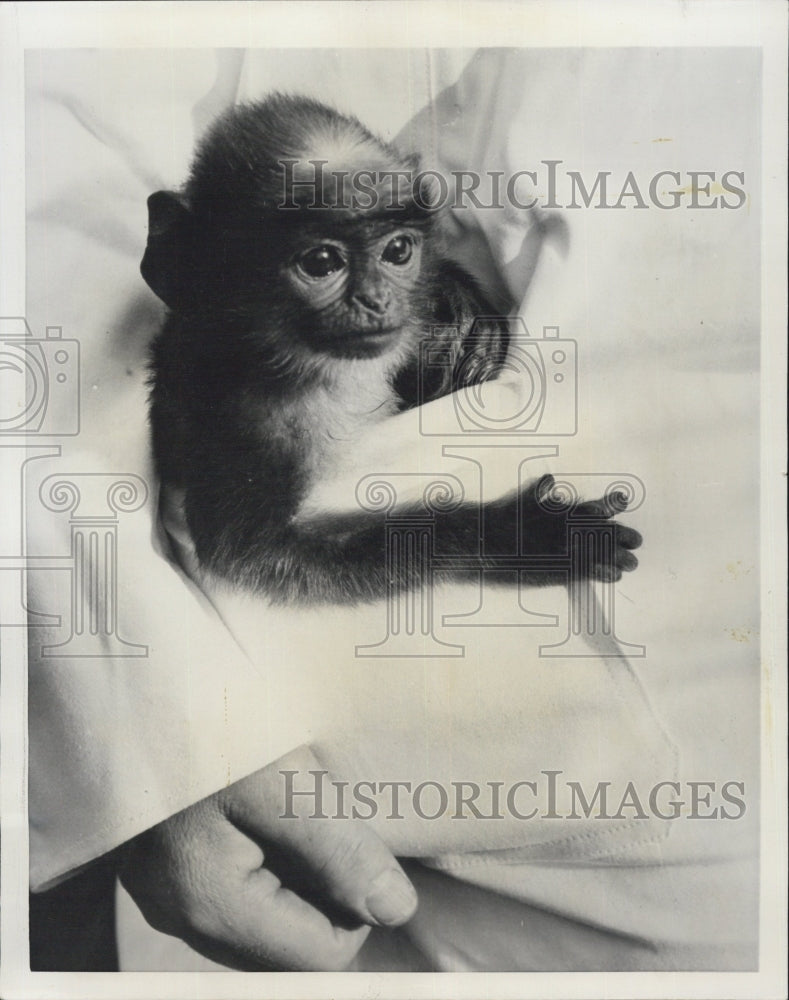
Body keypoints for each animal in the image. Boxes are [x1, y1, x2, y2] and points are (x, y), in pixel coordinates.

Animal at [141, 94, 641, 605]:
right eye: (321, 262)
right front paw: (521, 537)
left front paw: (463, 312)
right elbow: (256, 556)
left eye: (398, 251)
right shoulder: (243, 423)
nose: (377, 300)